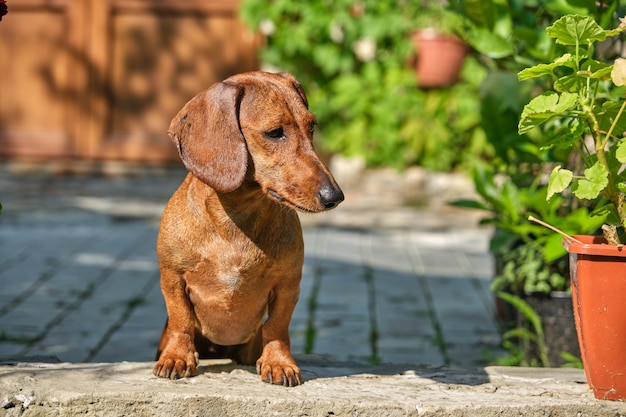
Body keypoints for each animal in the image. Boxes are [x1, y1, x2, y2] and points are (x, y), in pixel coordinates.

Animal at [154, 72, 344, 386]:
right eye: (275, 132)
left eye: (312, 126)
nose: (335, 196)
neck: (235, 223)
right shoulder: (172, 277)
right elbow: (181, 318)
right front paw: (177, 357)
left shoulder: (288, 284)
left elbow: (277, 327)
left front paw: (280, 363)